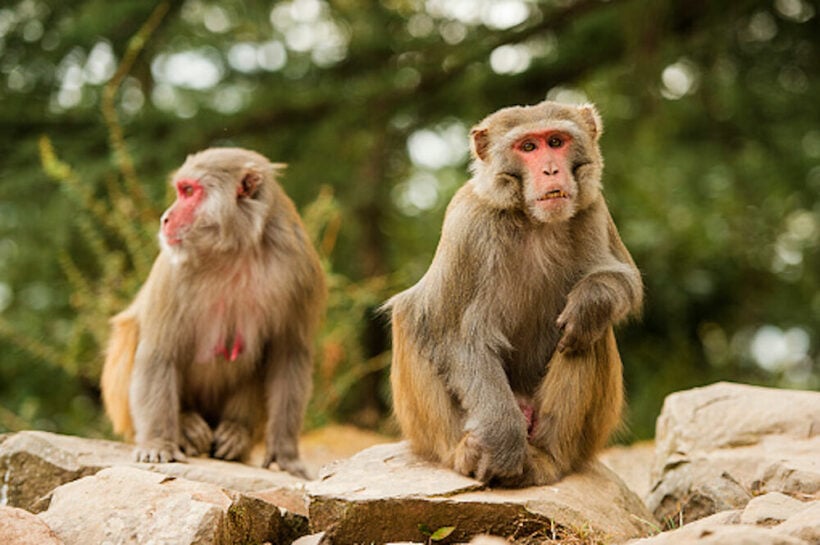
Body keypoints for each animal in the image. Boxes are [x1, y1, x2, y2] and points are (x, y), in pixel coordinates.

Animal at [99, 148, 324, 476]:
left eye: (189, 191)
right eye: (181, 190)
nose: (165, 219)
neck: (236, 251)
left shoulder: (300, 269)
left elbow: (289, 357)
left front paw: (285, 454)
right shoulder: (173, 270)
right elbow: (158, 353)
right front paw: (158, 442)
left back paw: (237, 432)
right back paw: (185, 427)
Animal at [388, 100, 644, 486]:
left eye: (556, 141)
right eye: (528, 147)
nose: (551, 170)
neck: (532, 219)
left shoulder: (593, 208)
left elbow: (626, 281)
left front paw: (593, 299)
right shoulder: (469, 224)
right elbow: (452, 333)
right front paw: (502, 445)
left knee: (587, 335)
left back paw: (547, 458)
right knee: (411, 319)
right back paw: (466, 453)